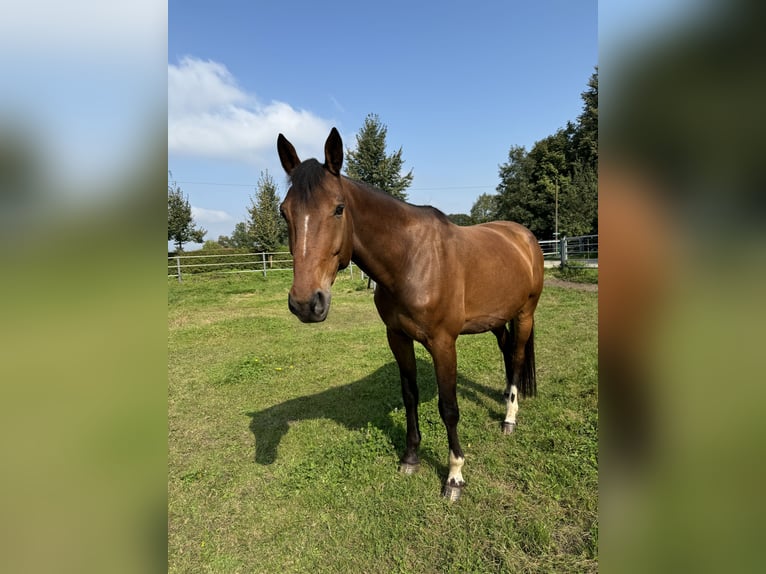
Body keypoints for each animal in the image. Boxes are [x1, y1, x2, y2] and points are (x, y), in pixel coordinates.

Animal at [280, 128, 544, 502]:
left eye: (338, 208)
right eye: (284, 212)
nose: (306, 303)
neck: (411, 259)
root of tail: (524, 237)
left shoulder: (443, 344)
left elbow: (449, 408)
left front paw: (454, 476)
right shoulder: (398, 337)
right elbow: (410, 396)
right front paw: (410, 458)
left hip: (524, 314)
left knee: (518, 357)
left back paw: (509, 417)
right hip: (496, 320)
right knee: (507, 352)